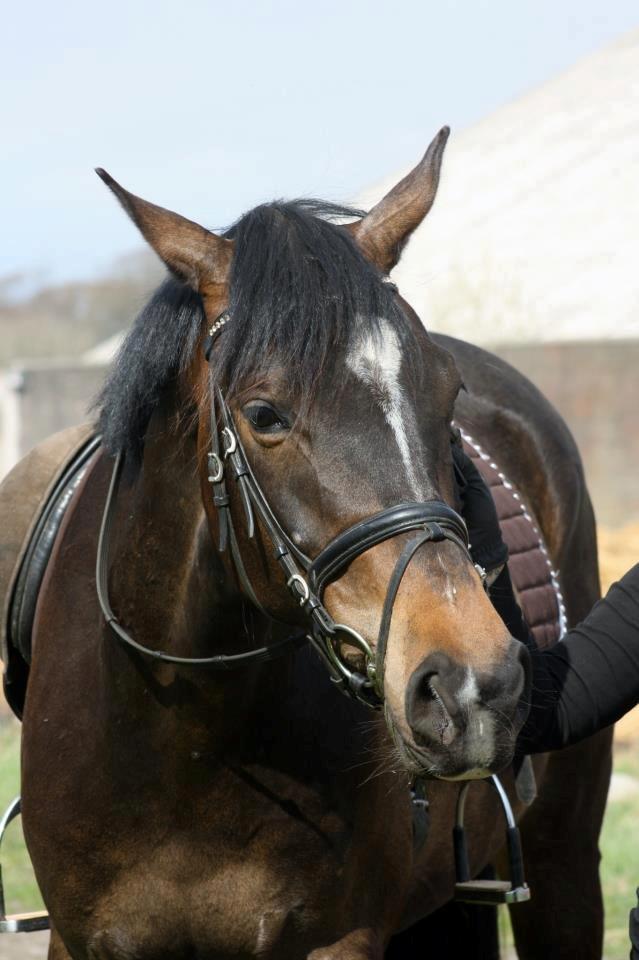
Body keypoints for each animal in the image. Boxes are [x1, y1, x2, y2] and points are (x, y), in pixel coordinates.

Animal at [8, 129, 608, 960]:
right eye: (263, 413)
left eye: (446, 393)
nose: (473, 686)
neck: (186, 744)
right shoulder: (77, 939)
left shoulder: (337, 940)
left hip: (561, 863)